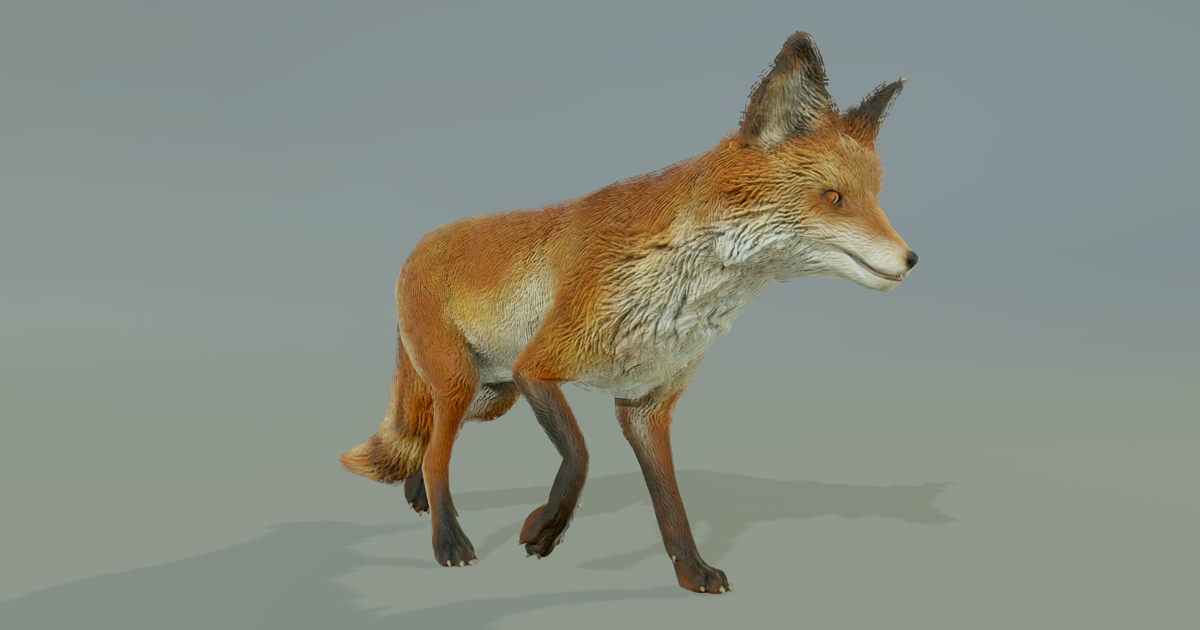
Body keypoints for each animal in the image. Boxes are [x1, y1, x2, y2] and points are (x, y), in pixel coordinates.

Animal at [340, 31, 917, 594]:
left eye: (876, 197)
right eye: (834, 198)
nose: (912, 259)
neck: (676, 299)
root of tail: (419, 242)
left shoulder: (645, 407)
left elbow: (671, 506)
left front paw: (692, 572)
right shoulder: (539, 367)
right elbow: (579, 456)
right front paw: (546, 528)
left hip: (491, 395)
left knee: (430, 442)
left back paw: (419, 497)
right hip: (465, 382)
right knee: (436, 454)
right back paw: (448, 540)